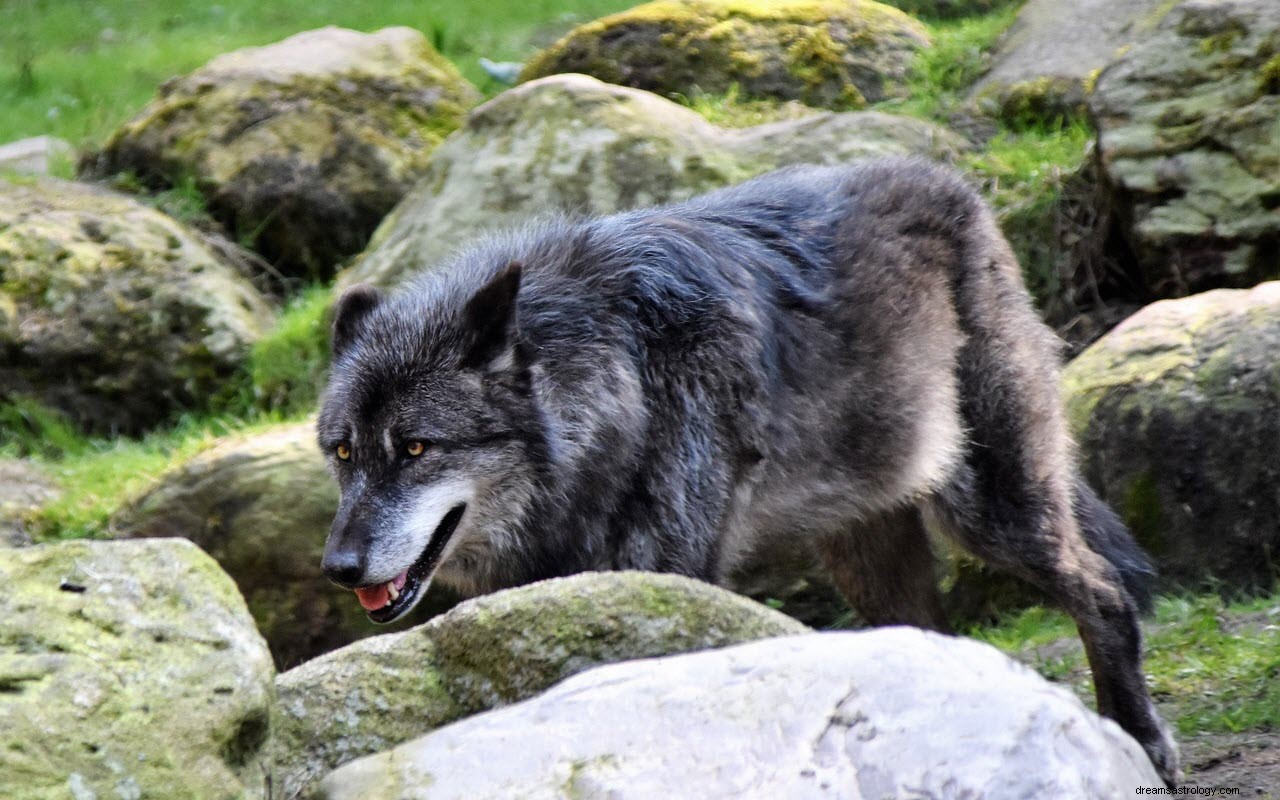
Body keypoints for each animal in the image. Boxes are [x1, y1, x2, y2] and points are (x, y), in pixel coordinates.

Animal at [320, 159, 1177, 783]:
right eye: (344, 451)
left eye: (416, 448)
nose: (338, 567)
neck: (619, 384)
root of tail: (953, 184)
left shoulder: (667, 577)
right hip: (868, 554)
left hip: (991, 509)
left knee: (1102, 590)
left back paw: (1142, 741)